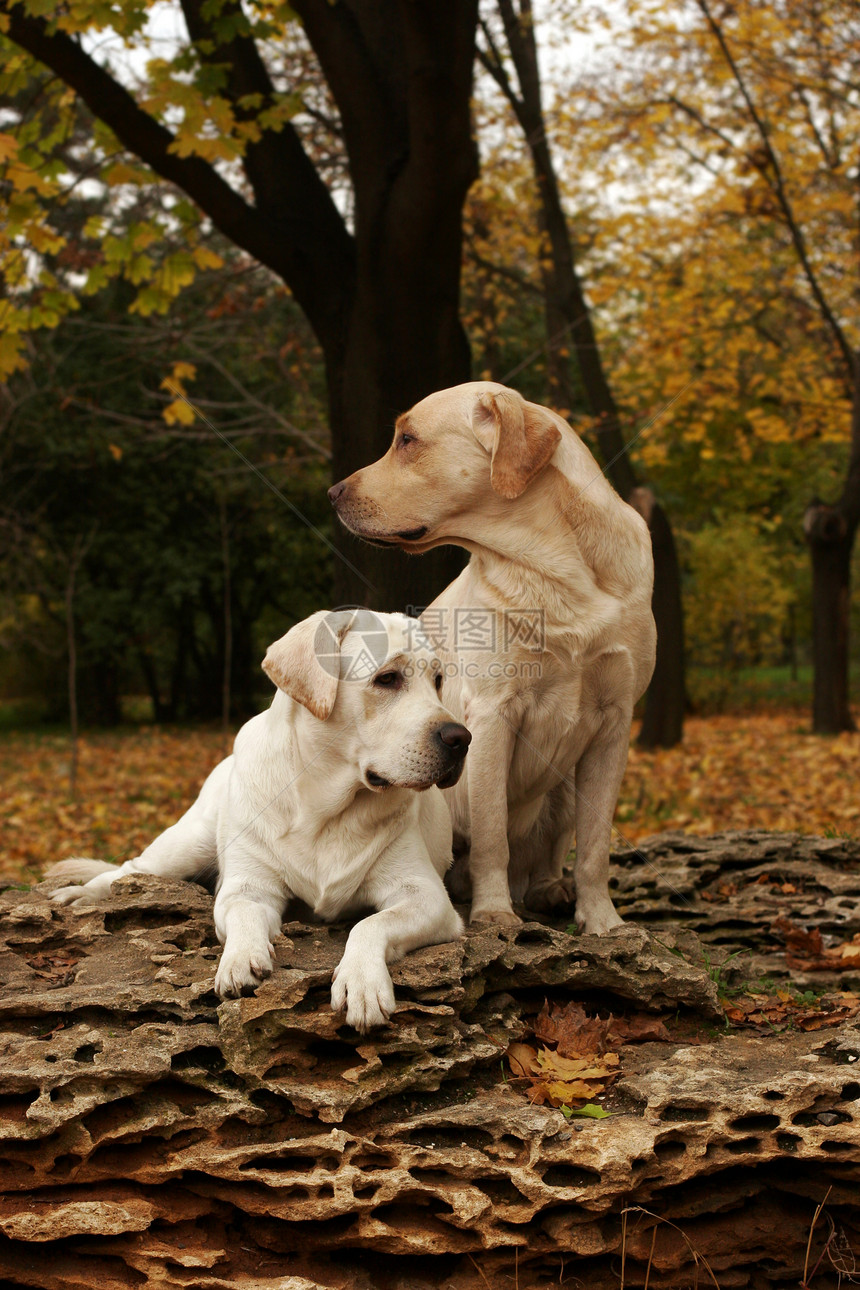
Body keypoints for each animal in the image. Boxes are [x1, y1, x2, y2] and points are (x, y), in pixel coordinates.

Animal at [47, 608, 471, 1032]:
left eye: (438, 681)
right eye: (387, 678)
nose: (461, 738)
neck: (326, 808)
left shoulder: (426, 895)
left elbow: (370, 924)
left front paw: (362, 981)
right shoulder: (247, 886)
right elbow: (245, 912)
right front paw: (239, 959)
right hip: (187, 844)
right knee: (128, 869)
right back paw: (82, 893)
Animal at [326, 376, 654, 933]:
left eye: (407, 440)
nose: (332, 494)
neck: (557, 571)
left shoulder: (615, 723)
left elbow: (594, 847)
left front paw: (604, 922)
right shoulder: (492, 714)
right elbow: (492, 836)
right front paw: (495, 913)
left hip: (563, 785)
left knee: (548, 852)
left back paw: (550, 890)